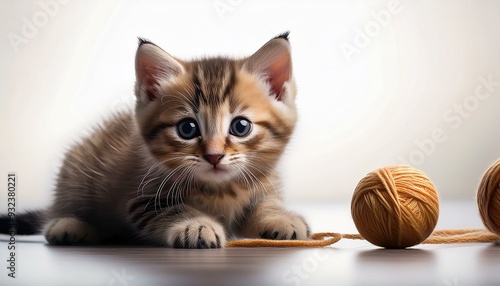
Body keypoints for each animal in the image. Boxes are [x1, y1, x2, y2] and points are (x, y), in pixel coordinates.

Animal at [1, 32, 310, 248]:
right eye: (187, 129)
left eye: (241, 126)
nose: (214, 156)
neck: (220, 190)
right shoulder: (141, 200)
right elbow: (172, 210)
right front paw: (195, 225)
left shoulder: (265, 184)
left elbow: (265, 203)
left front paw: (280, 217)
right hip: (75, 172)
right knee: (59, 209)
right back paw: (67, 225)